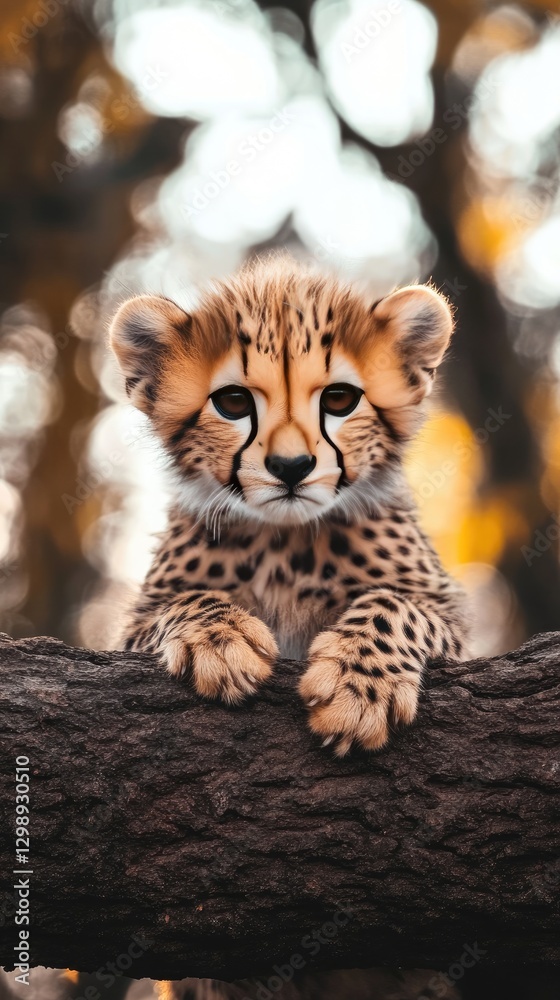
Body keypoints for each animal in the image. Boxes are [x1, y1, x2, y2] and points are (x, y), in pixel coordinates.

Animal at [109, 254, 468, 755]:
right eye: (233, 402)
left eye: (339, 399)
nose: (291, 466)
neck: (284, 539)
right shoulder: (132, 630)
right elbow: (184, 600)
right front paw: (221, 639)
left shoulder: (446, 615)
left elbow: (395, 605)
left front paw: (356, 687)